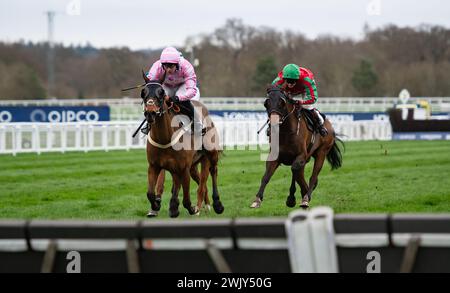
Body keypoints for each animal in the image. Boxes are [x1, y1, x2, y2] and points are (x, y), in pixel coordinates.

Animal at [140, 74, 224, 218]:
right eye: (143, 93)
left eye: (161, 93)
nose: (150, 113)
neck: (165, 139)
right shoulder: (154, 166)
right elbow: (150, 193)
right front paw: (156, 206)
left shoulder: (183, 168)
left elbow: (186, 199)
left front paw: (191, 208)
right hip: (193, 165)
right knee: (200, 182)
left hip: (210, 154)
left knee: (212, 173)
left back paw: (214, 205)